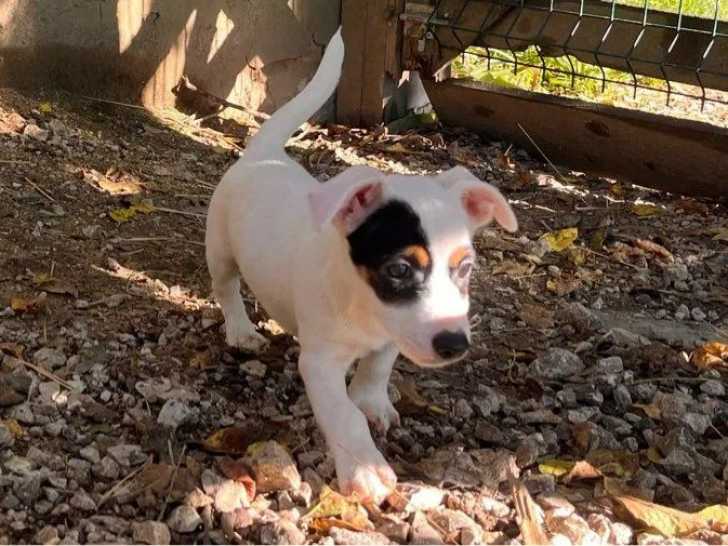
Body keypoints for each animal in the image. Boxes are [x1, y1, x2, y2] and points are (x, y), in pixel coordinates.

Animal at [205, 28, 518, 503]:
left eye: (464, 268)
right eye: (400, 269)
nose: (454, 345)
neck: (364, 303)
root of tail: (264, 155)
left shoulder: (394, 332)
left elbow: (377, 367)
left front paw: (372, 401)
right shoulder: (319, 362)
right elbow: (342, 414)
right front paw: (365, 469)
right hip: (220, 249)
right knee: (226, 289)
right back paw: (240, 329)